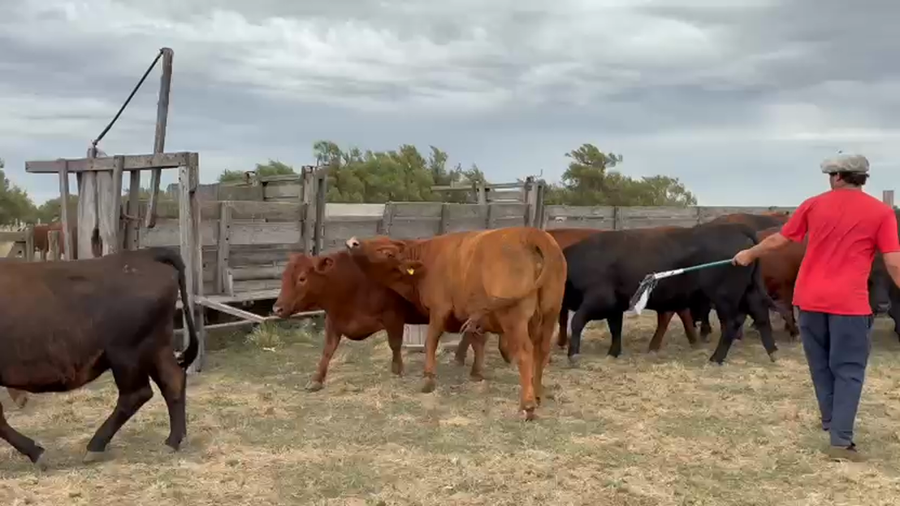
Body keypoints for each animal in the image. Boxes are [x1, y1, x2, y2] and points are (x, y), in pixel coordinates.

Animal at [0, 247, 199, 465]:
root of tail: (145, 255)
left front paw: (36, 452)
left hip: (127, 354)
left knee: (137, 394)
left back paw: (95, 446)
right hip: (156, 348)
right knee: (172, 382)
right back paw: (173, 441)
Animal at [345, 227, 567, 421]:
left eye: (387, 252)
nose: (353, 242)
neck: (427, 259)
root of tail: (532, 233)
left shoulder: (439, 309)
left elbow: (431, 341)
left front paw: (428, 379)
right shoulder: (473, 315)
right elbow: (476, 341)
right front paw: (476, 373)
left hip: (514, 318)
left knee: (524, 354)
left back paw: (527, 405)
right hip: (550, 314)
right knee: (542, 351)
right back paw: (537, 394)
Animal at [562, 222, 777, 365]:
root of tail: (736, 228)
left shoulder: (598, 299)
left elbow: (577, 321)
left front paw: (573, 354)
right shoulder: (615, 306)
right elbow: (616, 329)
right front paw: (613, 353)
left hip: (724, 297)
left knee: (731, 324)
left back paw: (715, 358)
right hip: (748, 292)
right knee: (761, 315)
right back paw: (772, 353)